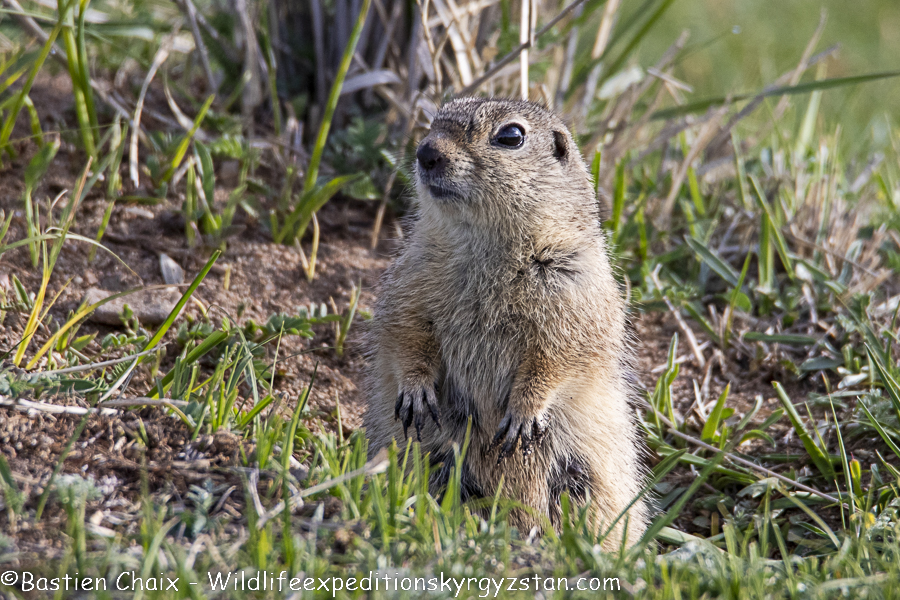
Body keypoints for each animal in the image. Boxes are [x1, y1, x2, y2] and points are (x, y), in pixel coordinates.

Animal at [363, 97, 646, 549]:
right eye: (433, 121)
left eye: (511, 136)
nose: (426, 152)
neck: (487, 246)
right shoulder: (409, 280)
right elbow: (403, 333)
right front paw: (415, 393)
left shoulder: (575, 295)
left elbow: (559, 358)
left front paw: (524, 415)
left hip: (582, 478)